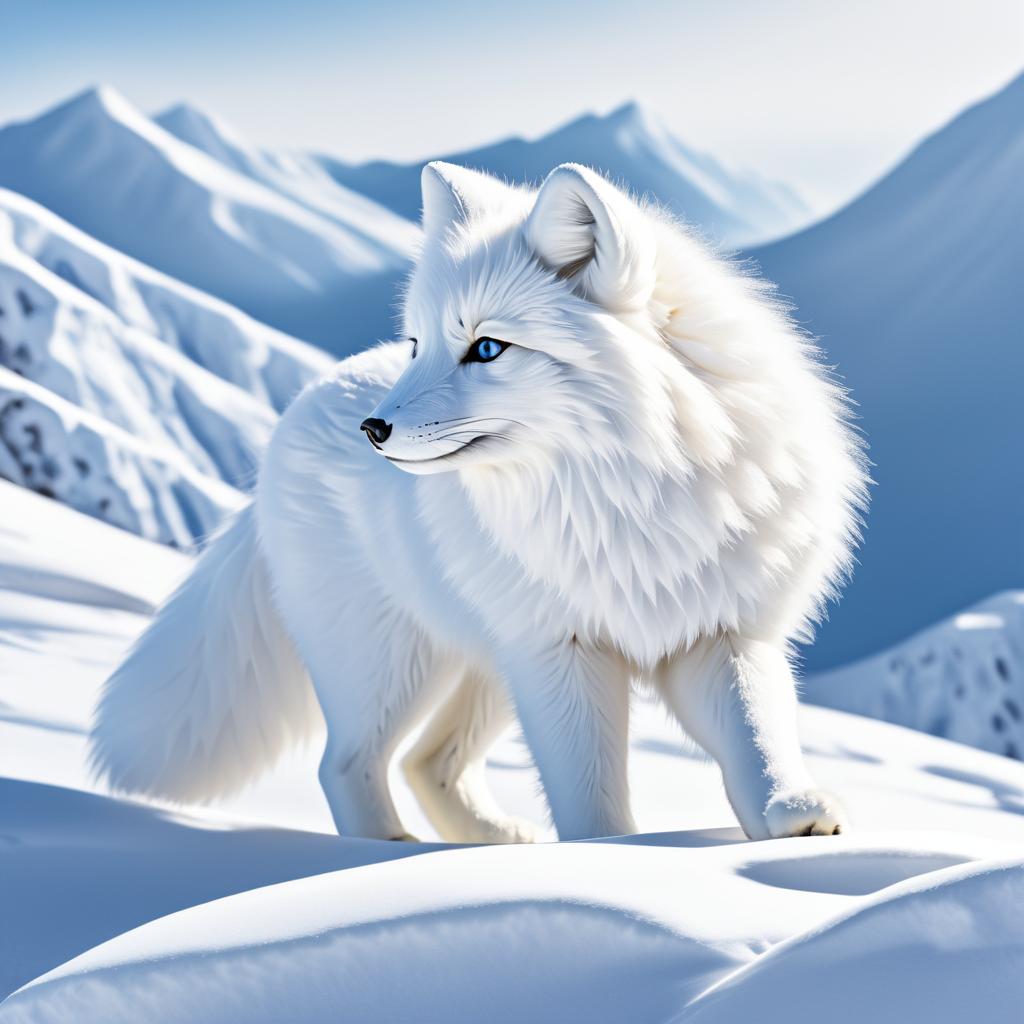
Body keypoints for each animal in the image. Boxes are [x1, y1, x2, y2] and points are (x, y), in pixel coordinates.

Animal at [92, 163, 868, 843]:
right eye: (417, 344)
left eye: (488, 348)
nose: (373, 430)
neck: (624, 497)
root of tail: (297, 409)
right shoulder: (562, 652)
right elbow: (589, 798)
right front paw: (609, 855)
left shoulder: (720, 631)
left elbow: (757, 739)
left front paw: (790, 818)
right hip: (393, 665)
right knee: (347, 762)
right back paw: (384, 853)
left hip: (487, 667)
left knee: (425, 762)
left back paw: (492, 841)